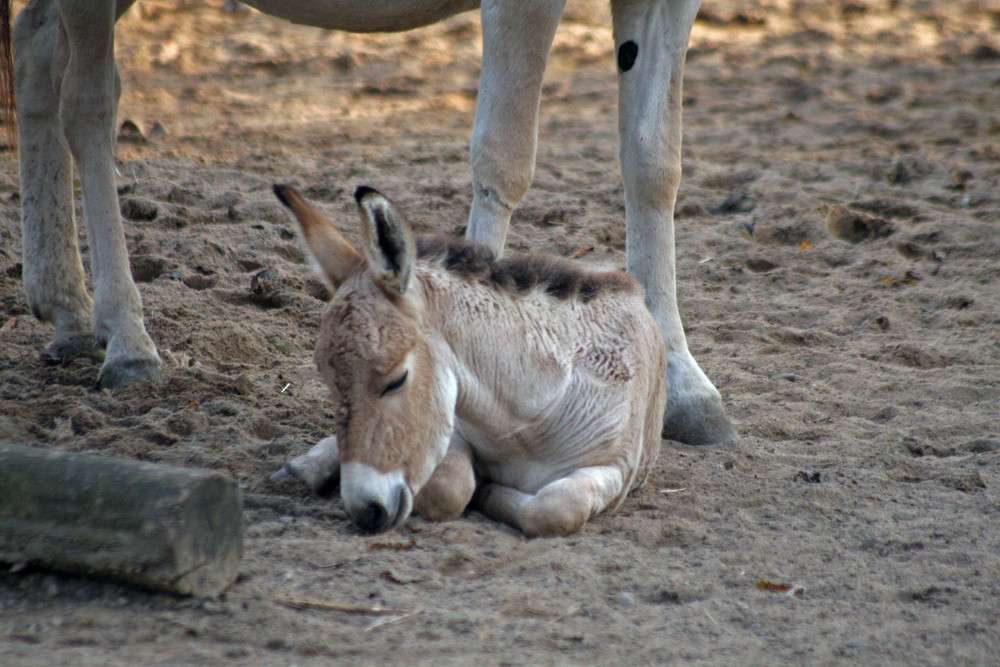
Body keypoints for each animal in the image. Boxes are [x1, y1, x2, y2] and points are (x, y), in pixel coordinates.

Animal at [272, 187, 672, 536]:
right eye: (327, 382)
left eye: (397, 380)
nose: (365, 511)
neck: (525, 421)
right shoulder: (455, 425)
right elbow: (448, 487)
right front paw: (479, 490)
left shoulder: (615, 468)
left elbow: (556, 508)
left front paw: (490, 494)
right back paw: (304, 468)